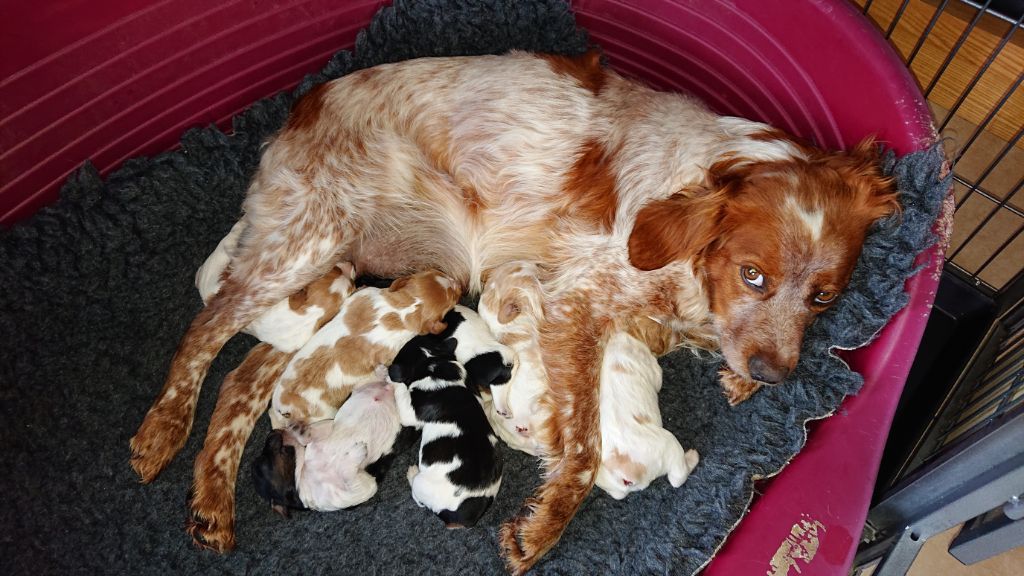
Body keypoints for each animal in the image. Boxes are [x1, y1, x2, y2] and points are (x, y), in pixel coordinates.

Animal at [272, 268, 464, 434]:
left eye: (438, 272)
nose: (459, 284)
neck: (404, 308)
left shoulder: (362, 295)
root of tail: (286, 408)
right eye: (453, 297)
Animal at [598, 330, 700, 500]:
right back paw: (692, 457)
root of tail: (622, 478)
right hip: (670, 445)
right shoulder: (652, 367)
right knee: (677, 478)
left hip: (612, 487)